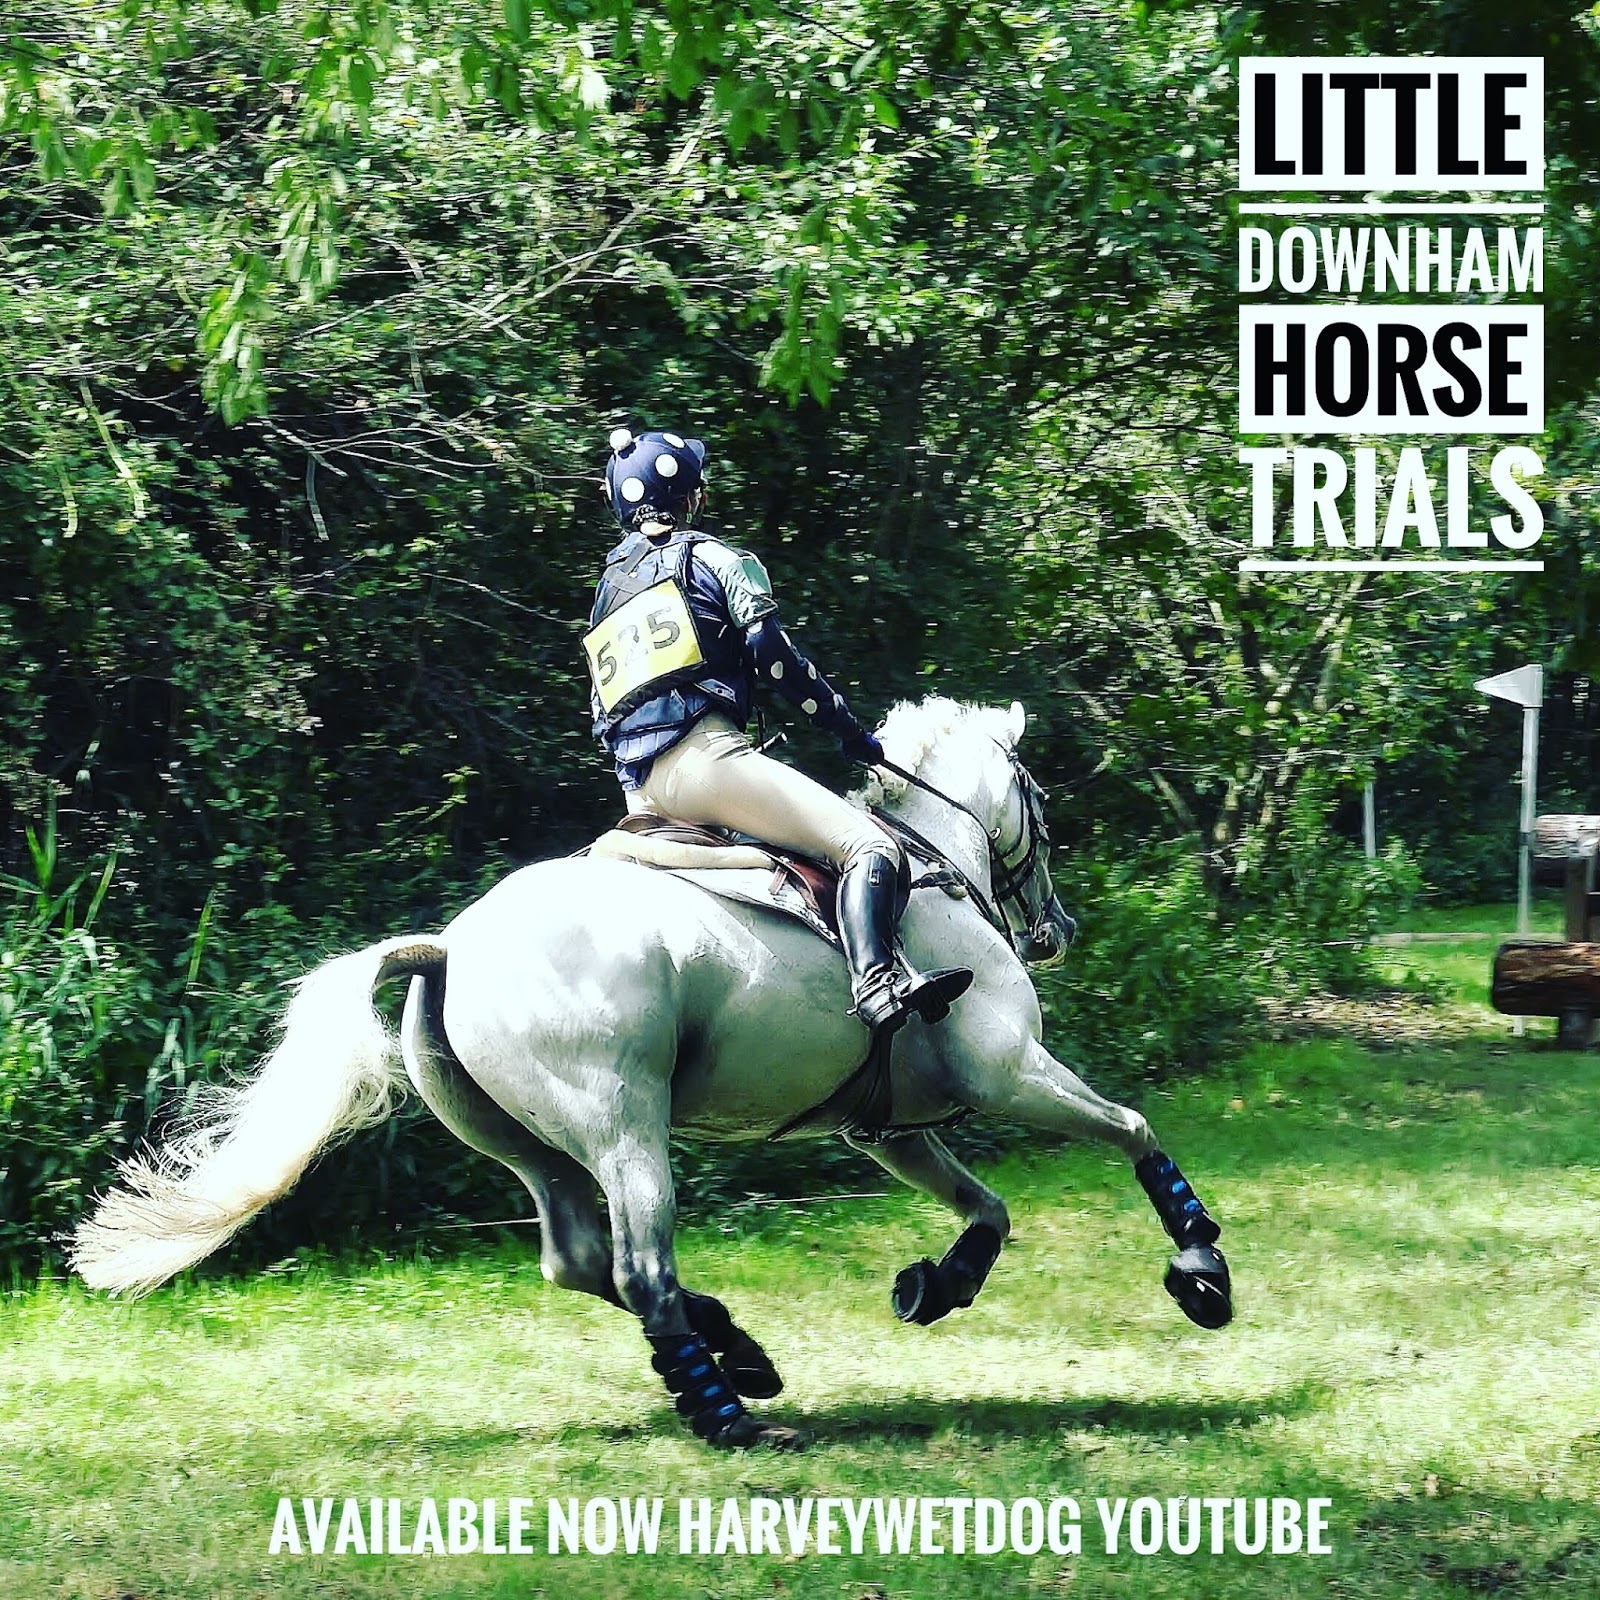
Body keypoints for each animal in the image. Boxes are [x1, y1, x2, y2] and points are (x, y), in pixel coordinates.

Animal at [70, 696, 1232, 1449]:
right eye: (1038, 798)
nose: (1056, 931)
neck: (931, 870)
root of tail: (450, 948)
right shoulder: (1008, 1074)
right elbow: (1131, 1127)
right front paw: (1201, 1270)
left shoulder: (889, 1130)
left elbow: (988, 1207)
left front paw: (936, 1285)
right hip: (624, 1121)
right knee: (637, 1268)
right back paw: (725, 1413)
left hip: (529, 1145)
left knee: (580, 1260)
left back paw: (740, 1356)